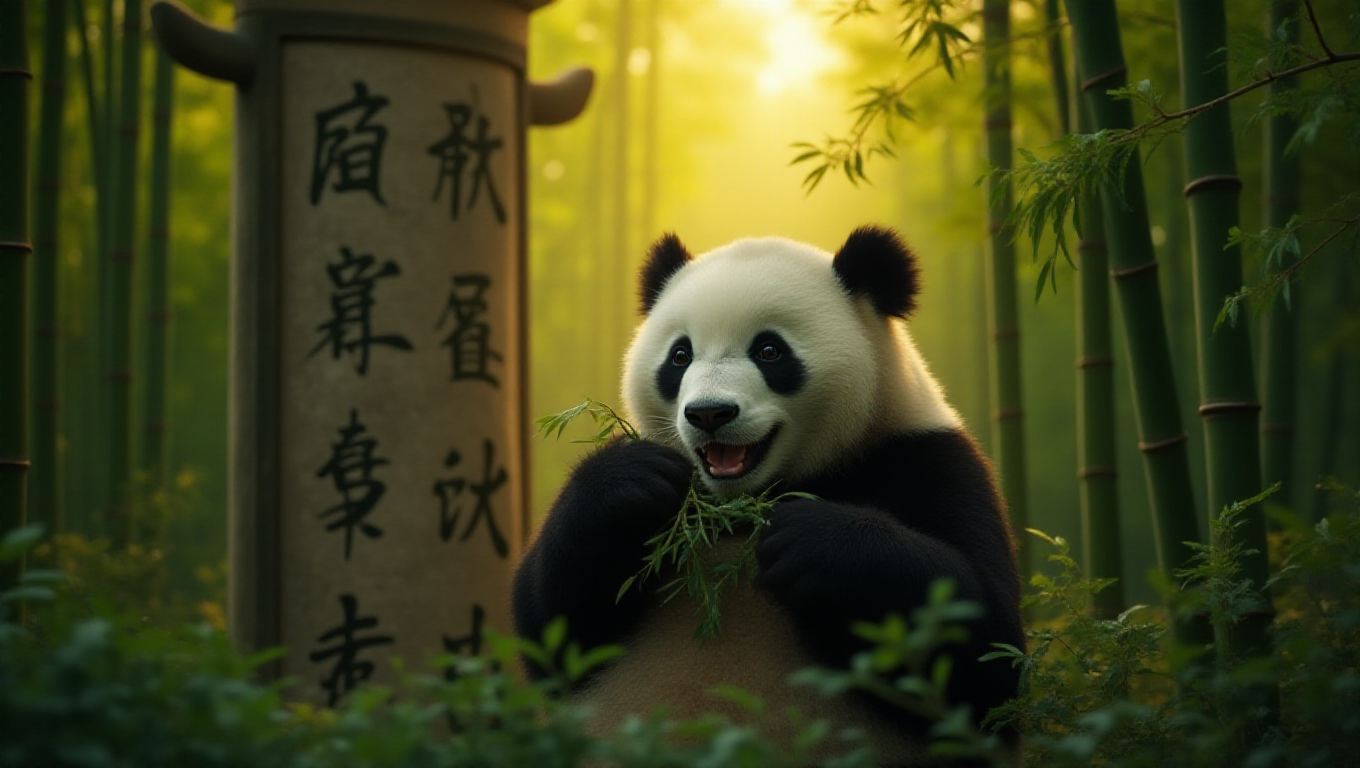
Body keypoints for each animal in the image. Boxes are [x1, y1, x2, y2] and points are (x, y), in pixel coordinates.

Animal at [512, 226, 1023, 765]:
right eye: (680, 356)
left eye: (770, 351)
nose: (709, 413)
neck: (740, 506)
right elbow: (551, 630)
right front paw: (631, 481)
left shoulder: (924, 458)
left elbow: (988, 652)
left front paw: (811, 542)